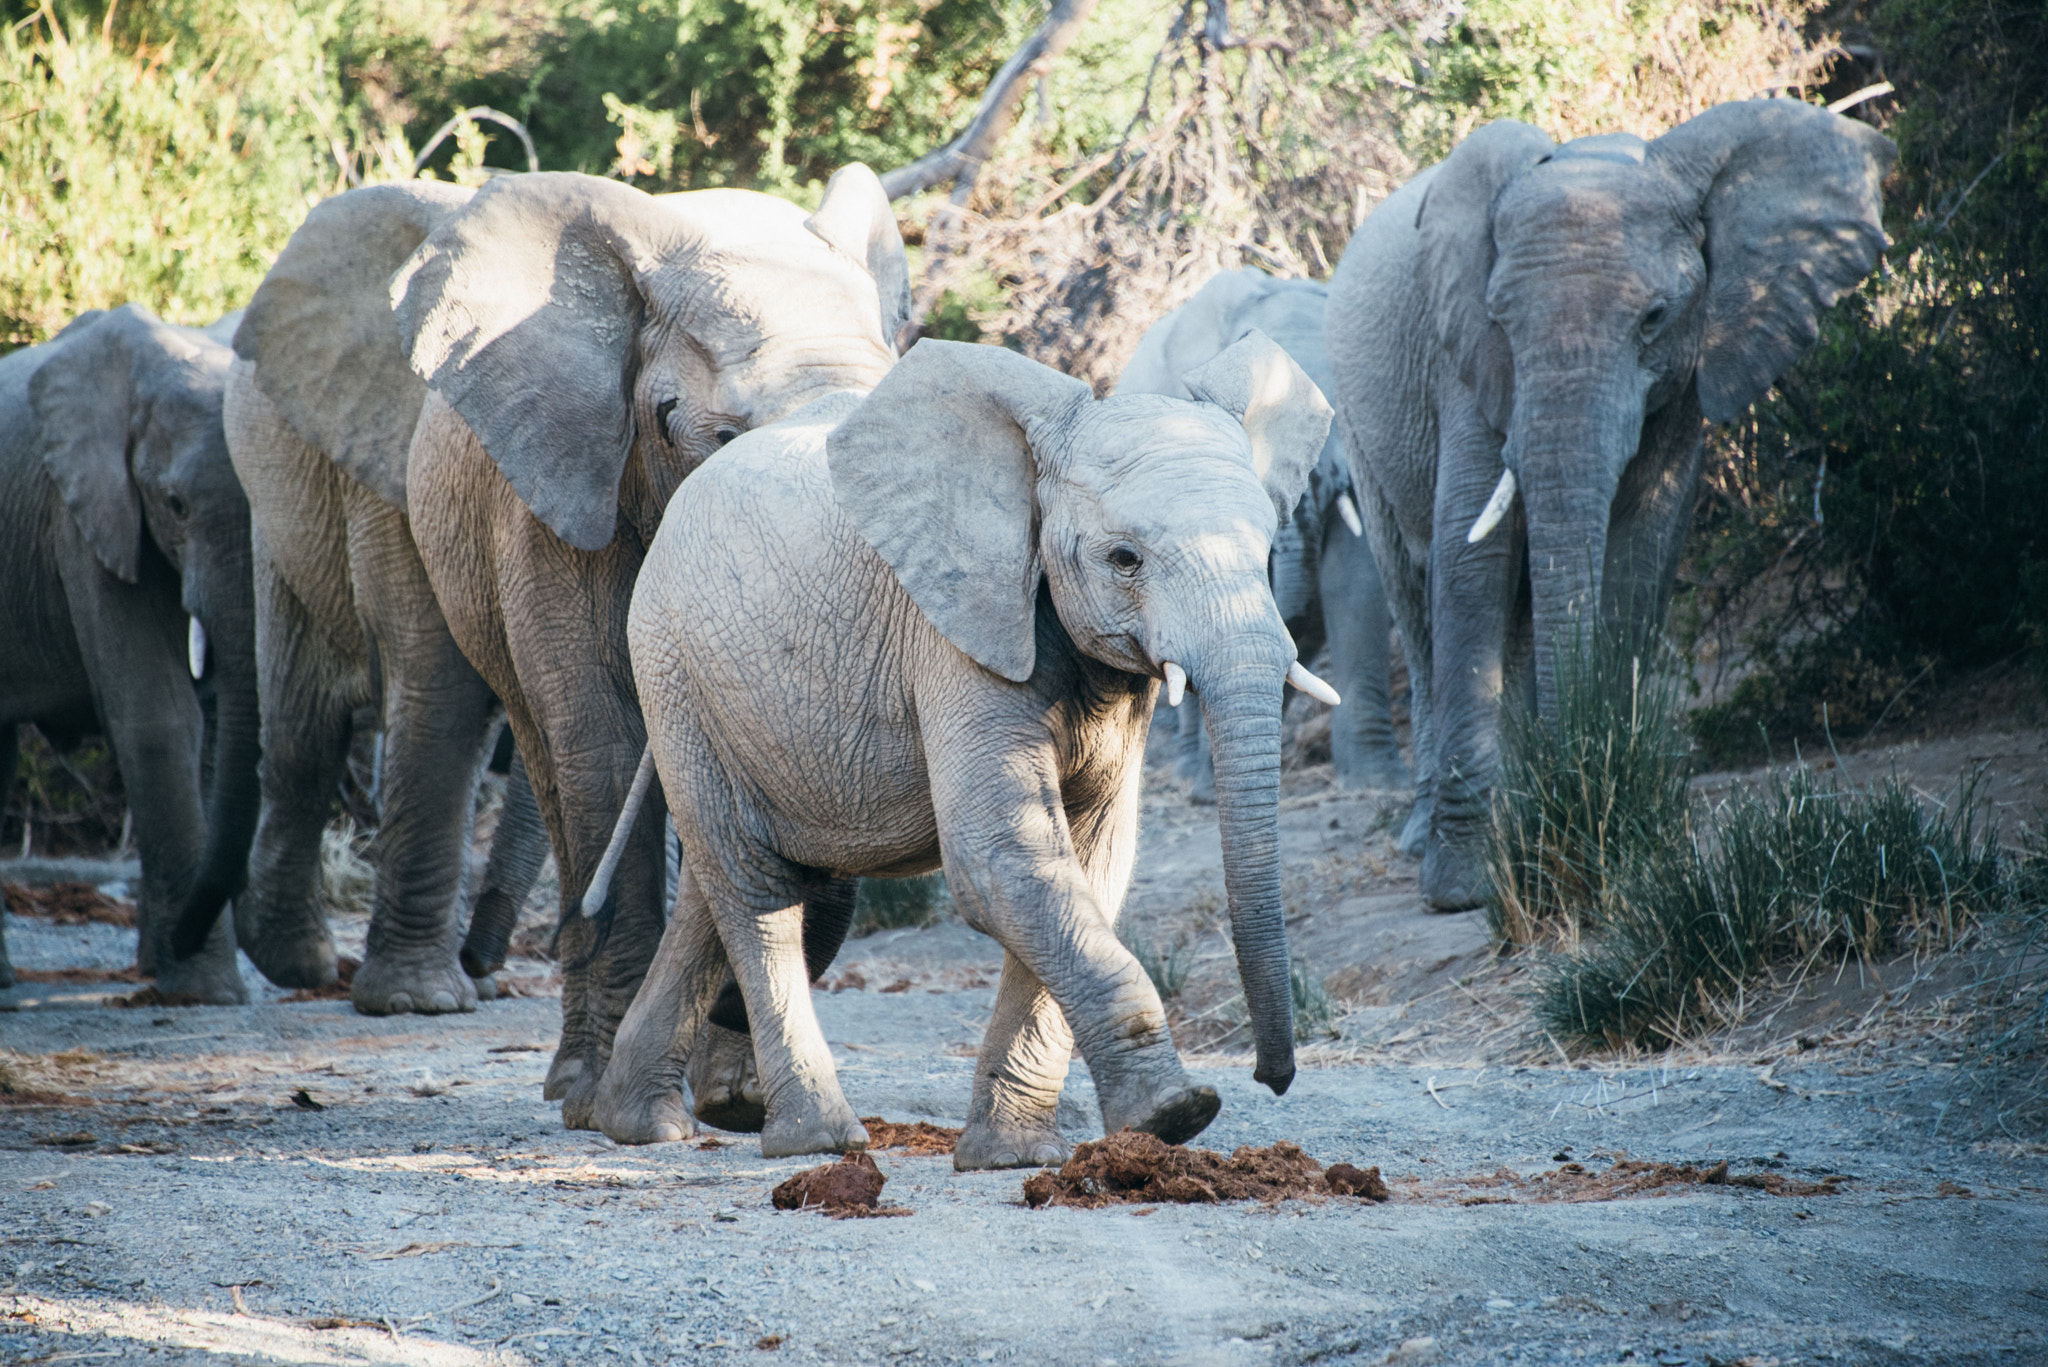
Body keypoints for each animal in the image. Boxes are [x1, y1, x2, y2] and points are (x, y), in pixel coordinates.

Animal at [0, 304, 260, 1002]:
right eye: (175, 505)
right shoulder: (82, 516)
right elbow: (160, 715)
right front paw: (203, 992)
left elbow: (208, 729)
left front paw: (173, 972)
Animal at [179, 166, 907, 1131]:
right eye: (700, 433)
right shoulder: (555, 492)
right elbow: (601, 736)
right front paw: (619, 1112)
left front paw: (739, 1105)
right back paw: (552, 1070)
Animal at [589, 332, 1337, 1167]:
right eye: (1124, 558)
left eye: (1266, 548)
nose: (1272, 1076)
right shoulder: (952, 635)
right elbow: (999, 857)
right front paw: (1177, 1114)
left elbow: (1090, 863)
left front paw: (1015, 1156)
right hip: (673, 668)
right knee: (758, 890)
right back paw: (816, 1138)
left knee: (717, 885)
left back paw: (648, 1123)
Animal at [1325, 98, 1893, 909]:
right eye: (1501, 318)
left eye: (1654, 317)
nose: (1571, 814)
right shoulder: (1464, 362)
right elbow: (1471, 563)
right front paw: (1465, 886)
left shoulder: (1692, 366)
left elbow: (1639, 553)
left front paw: (1606, 834)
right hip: (1359, 427)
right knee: (1414, 595)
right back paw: (1423, 834)